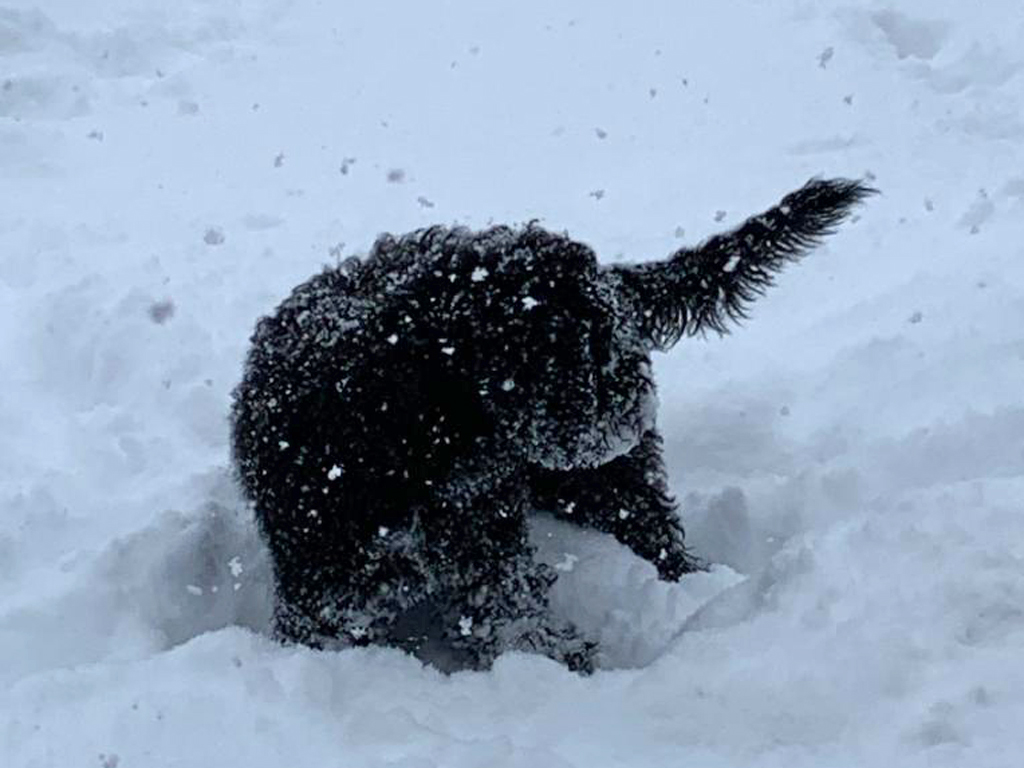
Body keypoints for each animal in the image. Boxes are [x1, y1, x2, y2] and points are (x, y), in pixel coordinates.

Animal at [230, 177, 872, 671]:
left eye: (609, 340)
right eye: (583, 347)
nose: (633, 407)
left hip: (598, 482)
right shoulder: (331, 561)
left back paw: (700, 589)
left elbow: (508, 605)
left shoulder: (481, 529)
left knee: (655, 531)